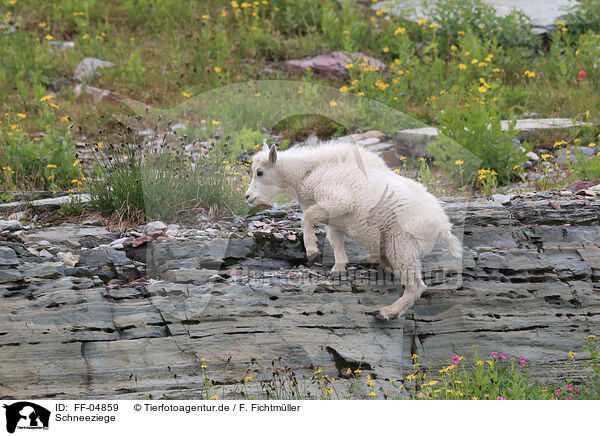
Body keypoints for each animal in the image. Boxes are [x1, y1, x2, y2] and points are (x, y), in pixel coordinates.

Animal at [244, 141, 460, 318]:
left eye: (260, 172)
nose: (247, 197)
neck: (308, 173)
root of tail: (443, 227)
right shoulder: (336, 220)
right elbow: (334, 240)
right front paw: (338, 267)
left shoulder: (339, 201)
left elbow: (308, 217)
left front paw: (312, 251)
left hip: (401, 242)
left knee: (415, 286)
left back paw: (387, 312)